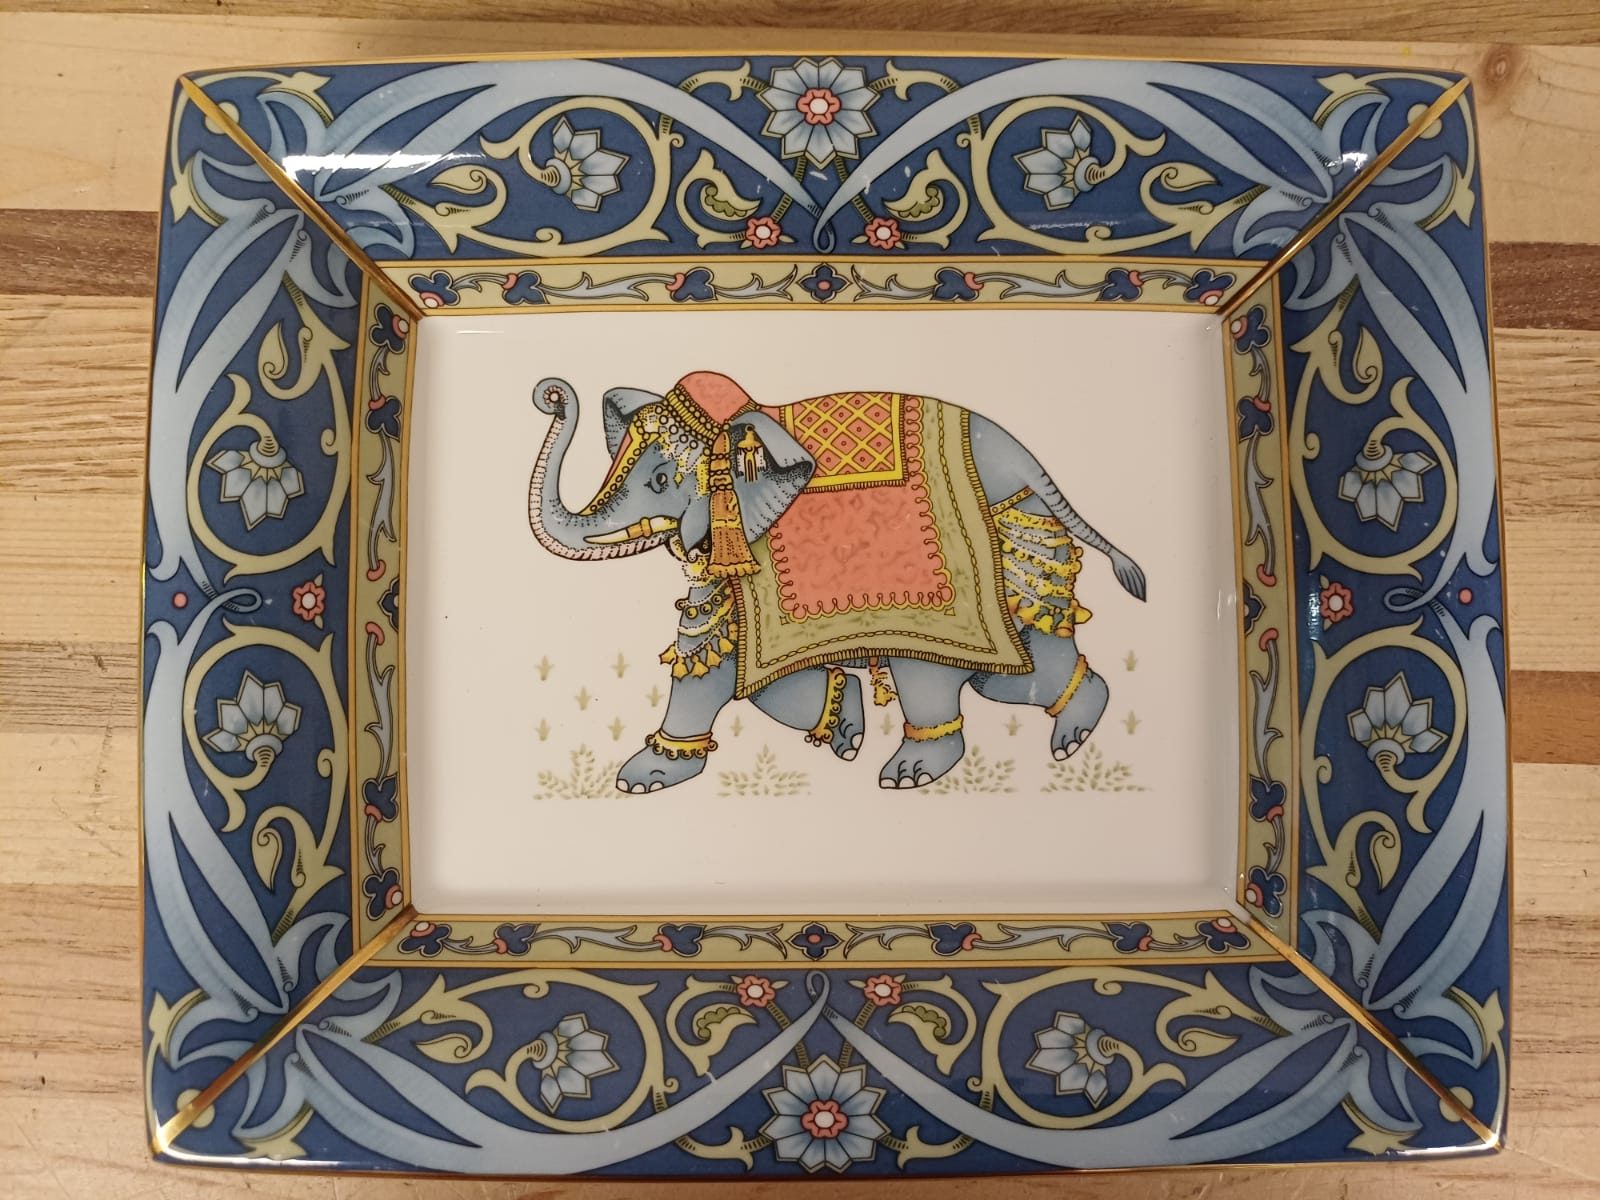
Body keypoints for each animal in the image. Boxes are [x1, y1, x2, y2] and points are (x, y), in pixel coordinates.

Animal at [526, 370, 1146, 793]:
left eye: (660, 479)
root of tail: (1026, 459)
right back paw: (1074, 719)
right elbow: (714, 651)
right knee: (1006, 672)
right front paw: (845, 729)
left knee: (944, 665)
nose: (550, 393)